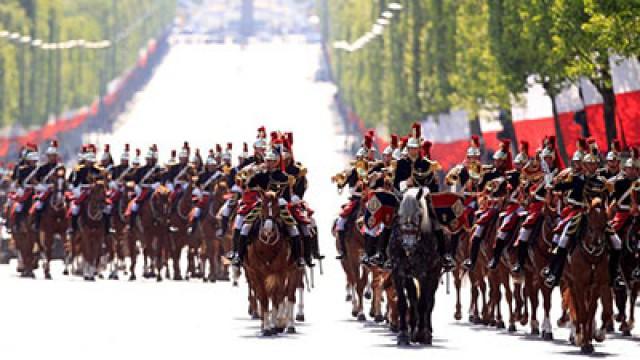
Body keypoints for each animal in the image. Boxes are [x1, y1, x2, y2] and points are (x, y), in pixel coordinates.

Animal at [244, 191, 298, 334]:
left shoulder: (280, 272)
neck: (267, 245)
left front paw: (276, 323)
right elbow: (263, 298)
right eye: (262, 206)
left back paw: (289, 325)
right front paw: (266, 327)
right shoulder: (256, 273)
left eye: (277, 209)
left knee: (289, 295)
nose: (268, 230)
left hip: (294, 270)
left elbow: (277, 297)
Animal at [390, 187, 440, 344]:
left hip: (435, 274)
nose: (408, 245)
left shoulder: (424, 273)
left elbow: (424, 303)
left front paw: (422, 333)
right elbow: (403, 302)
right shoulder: (398, 271)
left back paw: (426, 330)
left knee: (429, 301)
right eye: (399, 215)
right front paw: (403, 334)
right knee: (413, 299)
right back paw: (412, 327)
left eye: (419, 214)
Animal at [564, 200, 608, 354]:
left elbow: (590, 313)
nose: (598, 243)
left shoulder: (596, 285)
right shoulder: (578, 284)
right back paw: (578, 336)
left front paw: (590, 342)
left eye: (605, 222)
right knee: (576, 307)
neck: (591, 256)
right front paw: (583, 343)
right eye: (589, 222)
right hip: (571, 283)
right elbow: (582, 312)